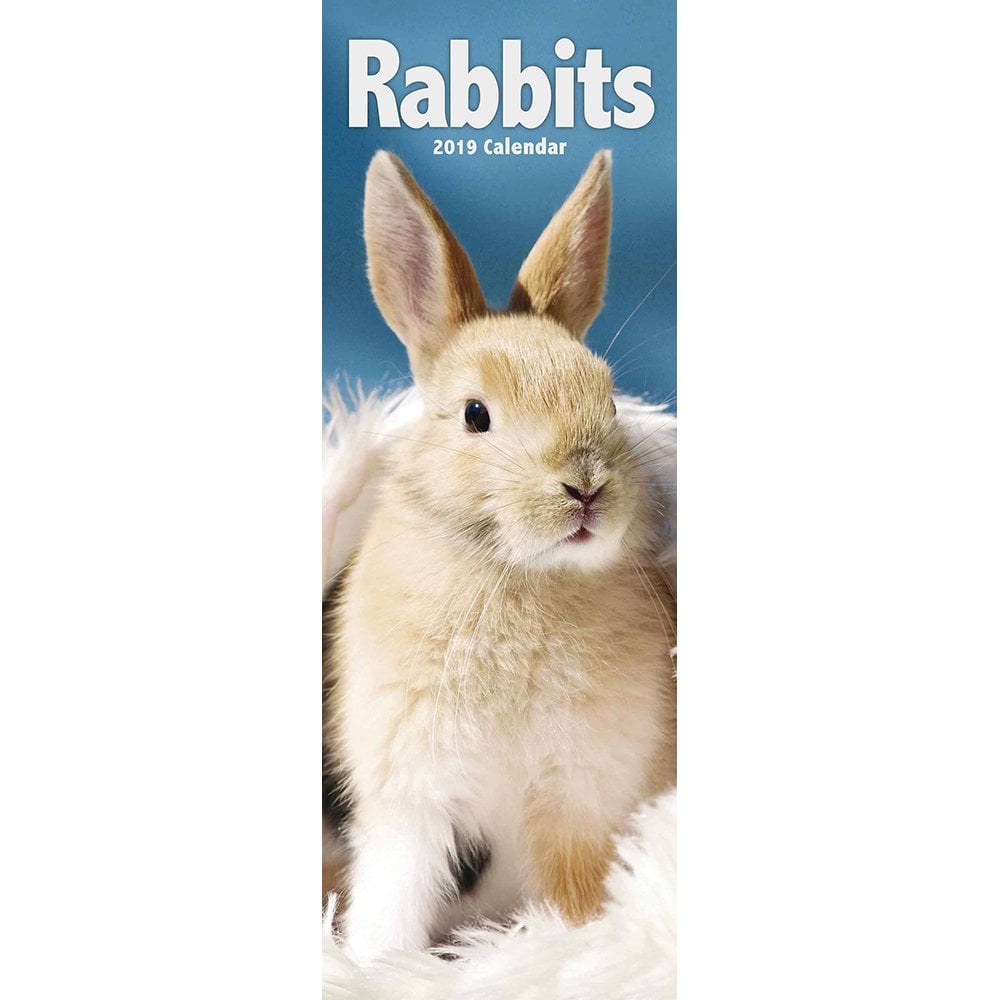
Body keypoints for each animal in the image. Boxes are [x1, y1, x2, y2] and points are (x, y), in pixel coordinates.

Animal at [324, 149, 676, 962]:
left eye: (611, 402)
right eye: (476, 415)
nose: (585, 487)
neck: (515, 573)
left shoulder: (579, 798)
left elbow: (574, 895)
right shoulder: (411, 796)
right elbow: (393, 898)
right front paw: (378, 964)